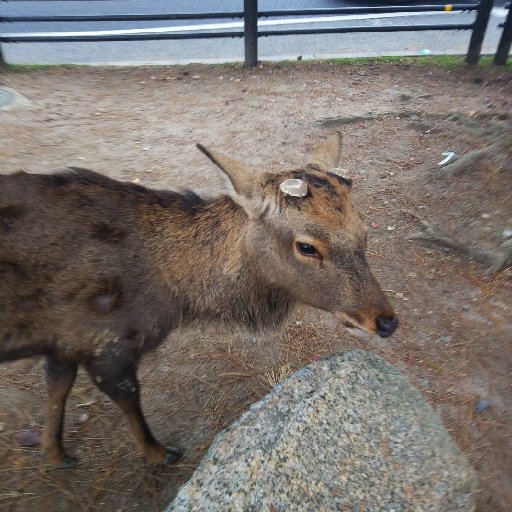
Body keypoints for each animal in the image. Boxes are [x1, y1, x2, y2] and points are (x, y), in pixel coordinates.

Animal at [0, 132, 398, 468]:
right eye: (307, 246)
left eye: (364, 232)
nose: (387, 321)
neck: (172, 293)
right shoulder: (105, 341)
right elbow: (129, 398)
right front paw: (159, 453)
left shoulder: (63, 340)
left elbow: (57, 387)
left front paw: (55, 453)